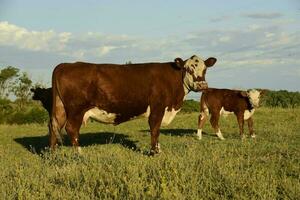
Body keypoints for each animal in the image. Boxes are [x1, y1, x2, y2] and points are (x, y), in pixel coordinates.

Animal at [50, 55, 217, 155]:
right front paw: (154, 152)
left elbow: (157, 131)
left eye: (205, 69)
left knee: (54, 127)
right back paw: (79, 153)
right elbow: (155, 129)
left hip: (60, 109)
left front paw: (158, 150)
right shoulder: (157, 107)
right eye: (188, 68)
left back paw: (53, 154)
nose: (202, 85)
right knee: (71, 128)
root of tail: (64, 65)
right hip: (76, 109)